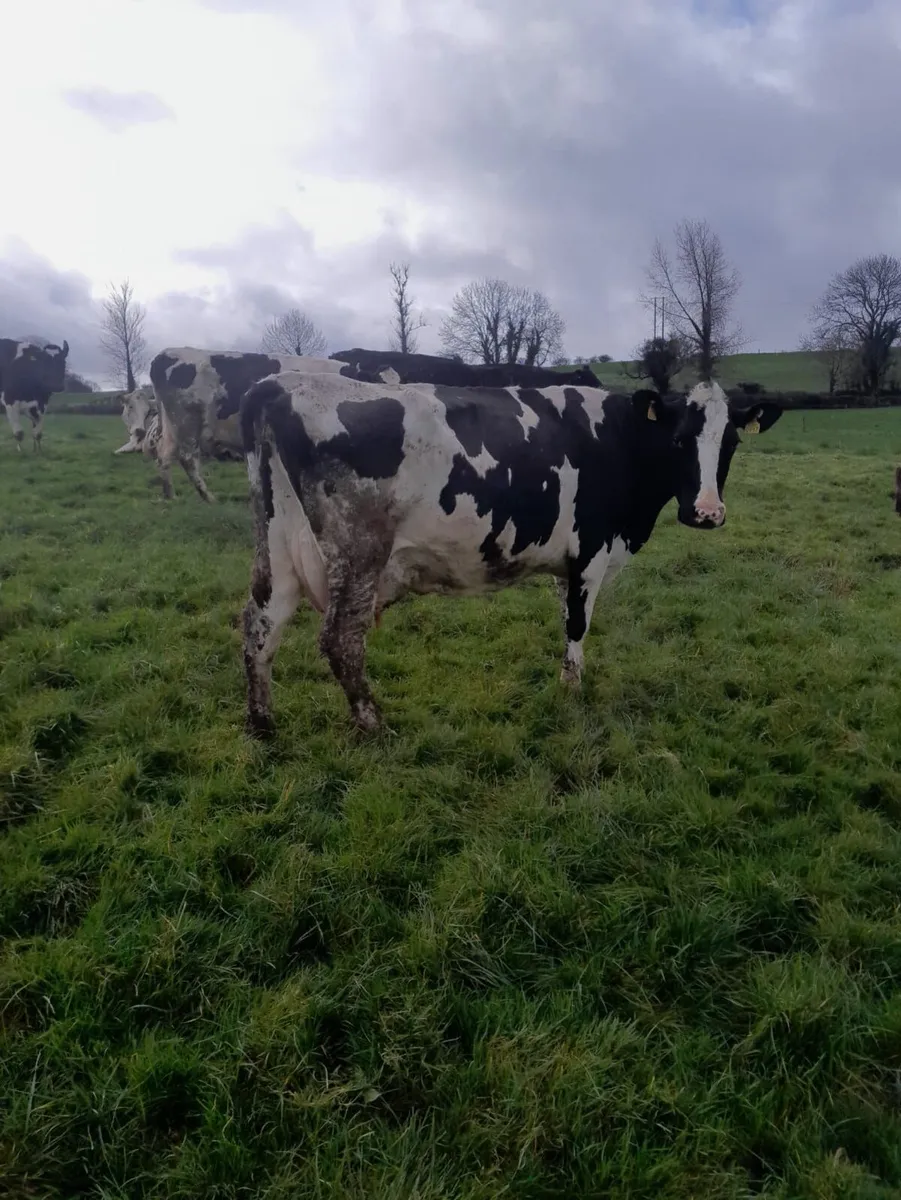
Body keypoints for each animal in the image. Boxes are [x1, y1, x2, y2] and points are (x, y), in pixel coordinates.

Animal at [147, 348, 393, 502]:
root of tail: (164, 354)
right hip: (187, 422)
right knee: (187, 457)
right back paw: (208, 498)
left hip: (172, 425)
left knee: (164, 454)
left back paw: (170, 495)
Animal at [238, 373, 783, 736]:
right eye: (678, 439)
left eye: (731, 442)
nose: (707, 513)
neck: (619, 439)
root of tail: (283, 382)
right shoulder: (591, 551)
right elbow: (578, 624)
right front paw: (571, 694)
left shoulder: (569, 563)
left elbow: (567, 618)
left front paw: (568, 681)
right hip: (357, 553)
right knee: (340, 639)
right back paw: (373, 724)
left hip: (279, 546)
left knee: (260, 626)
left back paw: (263, 723)